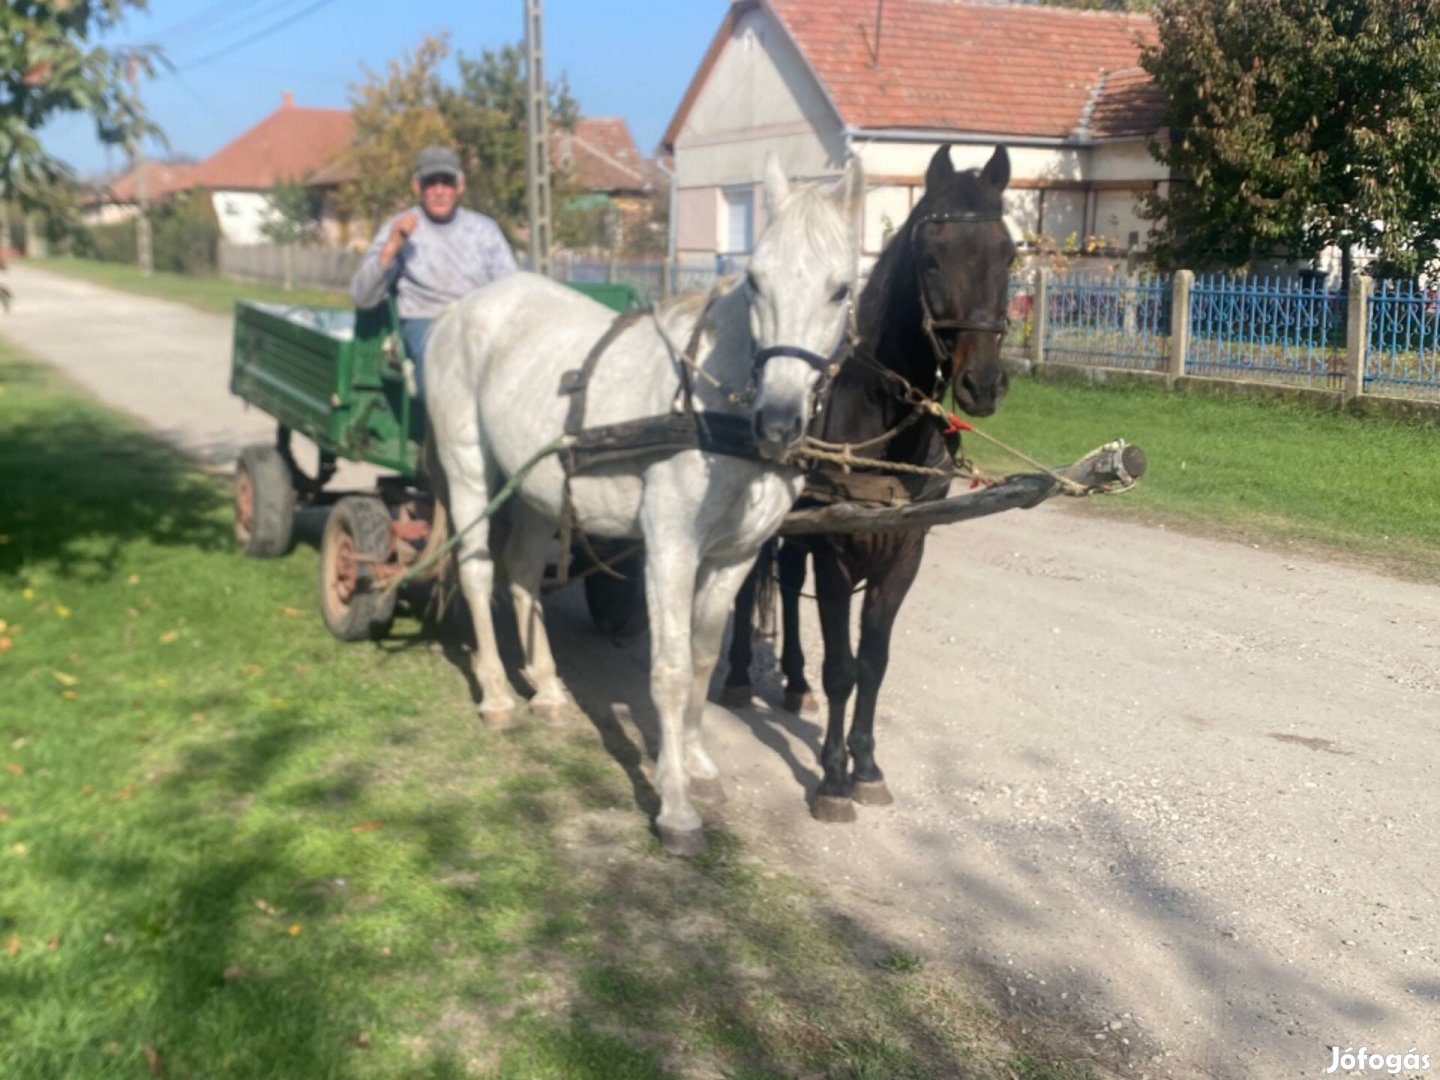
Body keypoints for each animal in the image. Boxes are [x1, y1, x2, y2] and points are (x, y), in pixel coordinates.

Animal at [426, 156, 864, 858]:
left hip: (539, 489)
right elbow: (671, 672)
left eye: (840, 289)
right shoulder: (671, 550)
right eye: (758, 281)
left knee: (520, 573)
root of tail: (461, 310)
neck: (718, 408)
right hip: (469, 468)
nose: (778, 421)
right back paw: (495, 695)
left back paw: (546, 688)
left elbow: (705, 660)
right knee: (476, 570)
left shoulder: (734, 558)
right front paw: (676, 807)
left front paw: (699, 765)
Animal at [720, 141, 1013, 817]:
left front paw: (868, 765)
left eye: (1009, 254)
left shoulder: (904, 553)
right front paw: (832, 777)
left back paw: (793, 680)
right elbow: (844, 668)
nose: (983, 382)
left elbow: (874, 662)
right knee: (752, 587)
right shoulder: (837, 552)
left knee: (788, 586)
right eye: (931, 258)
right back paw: (740, 679)